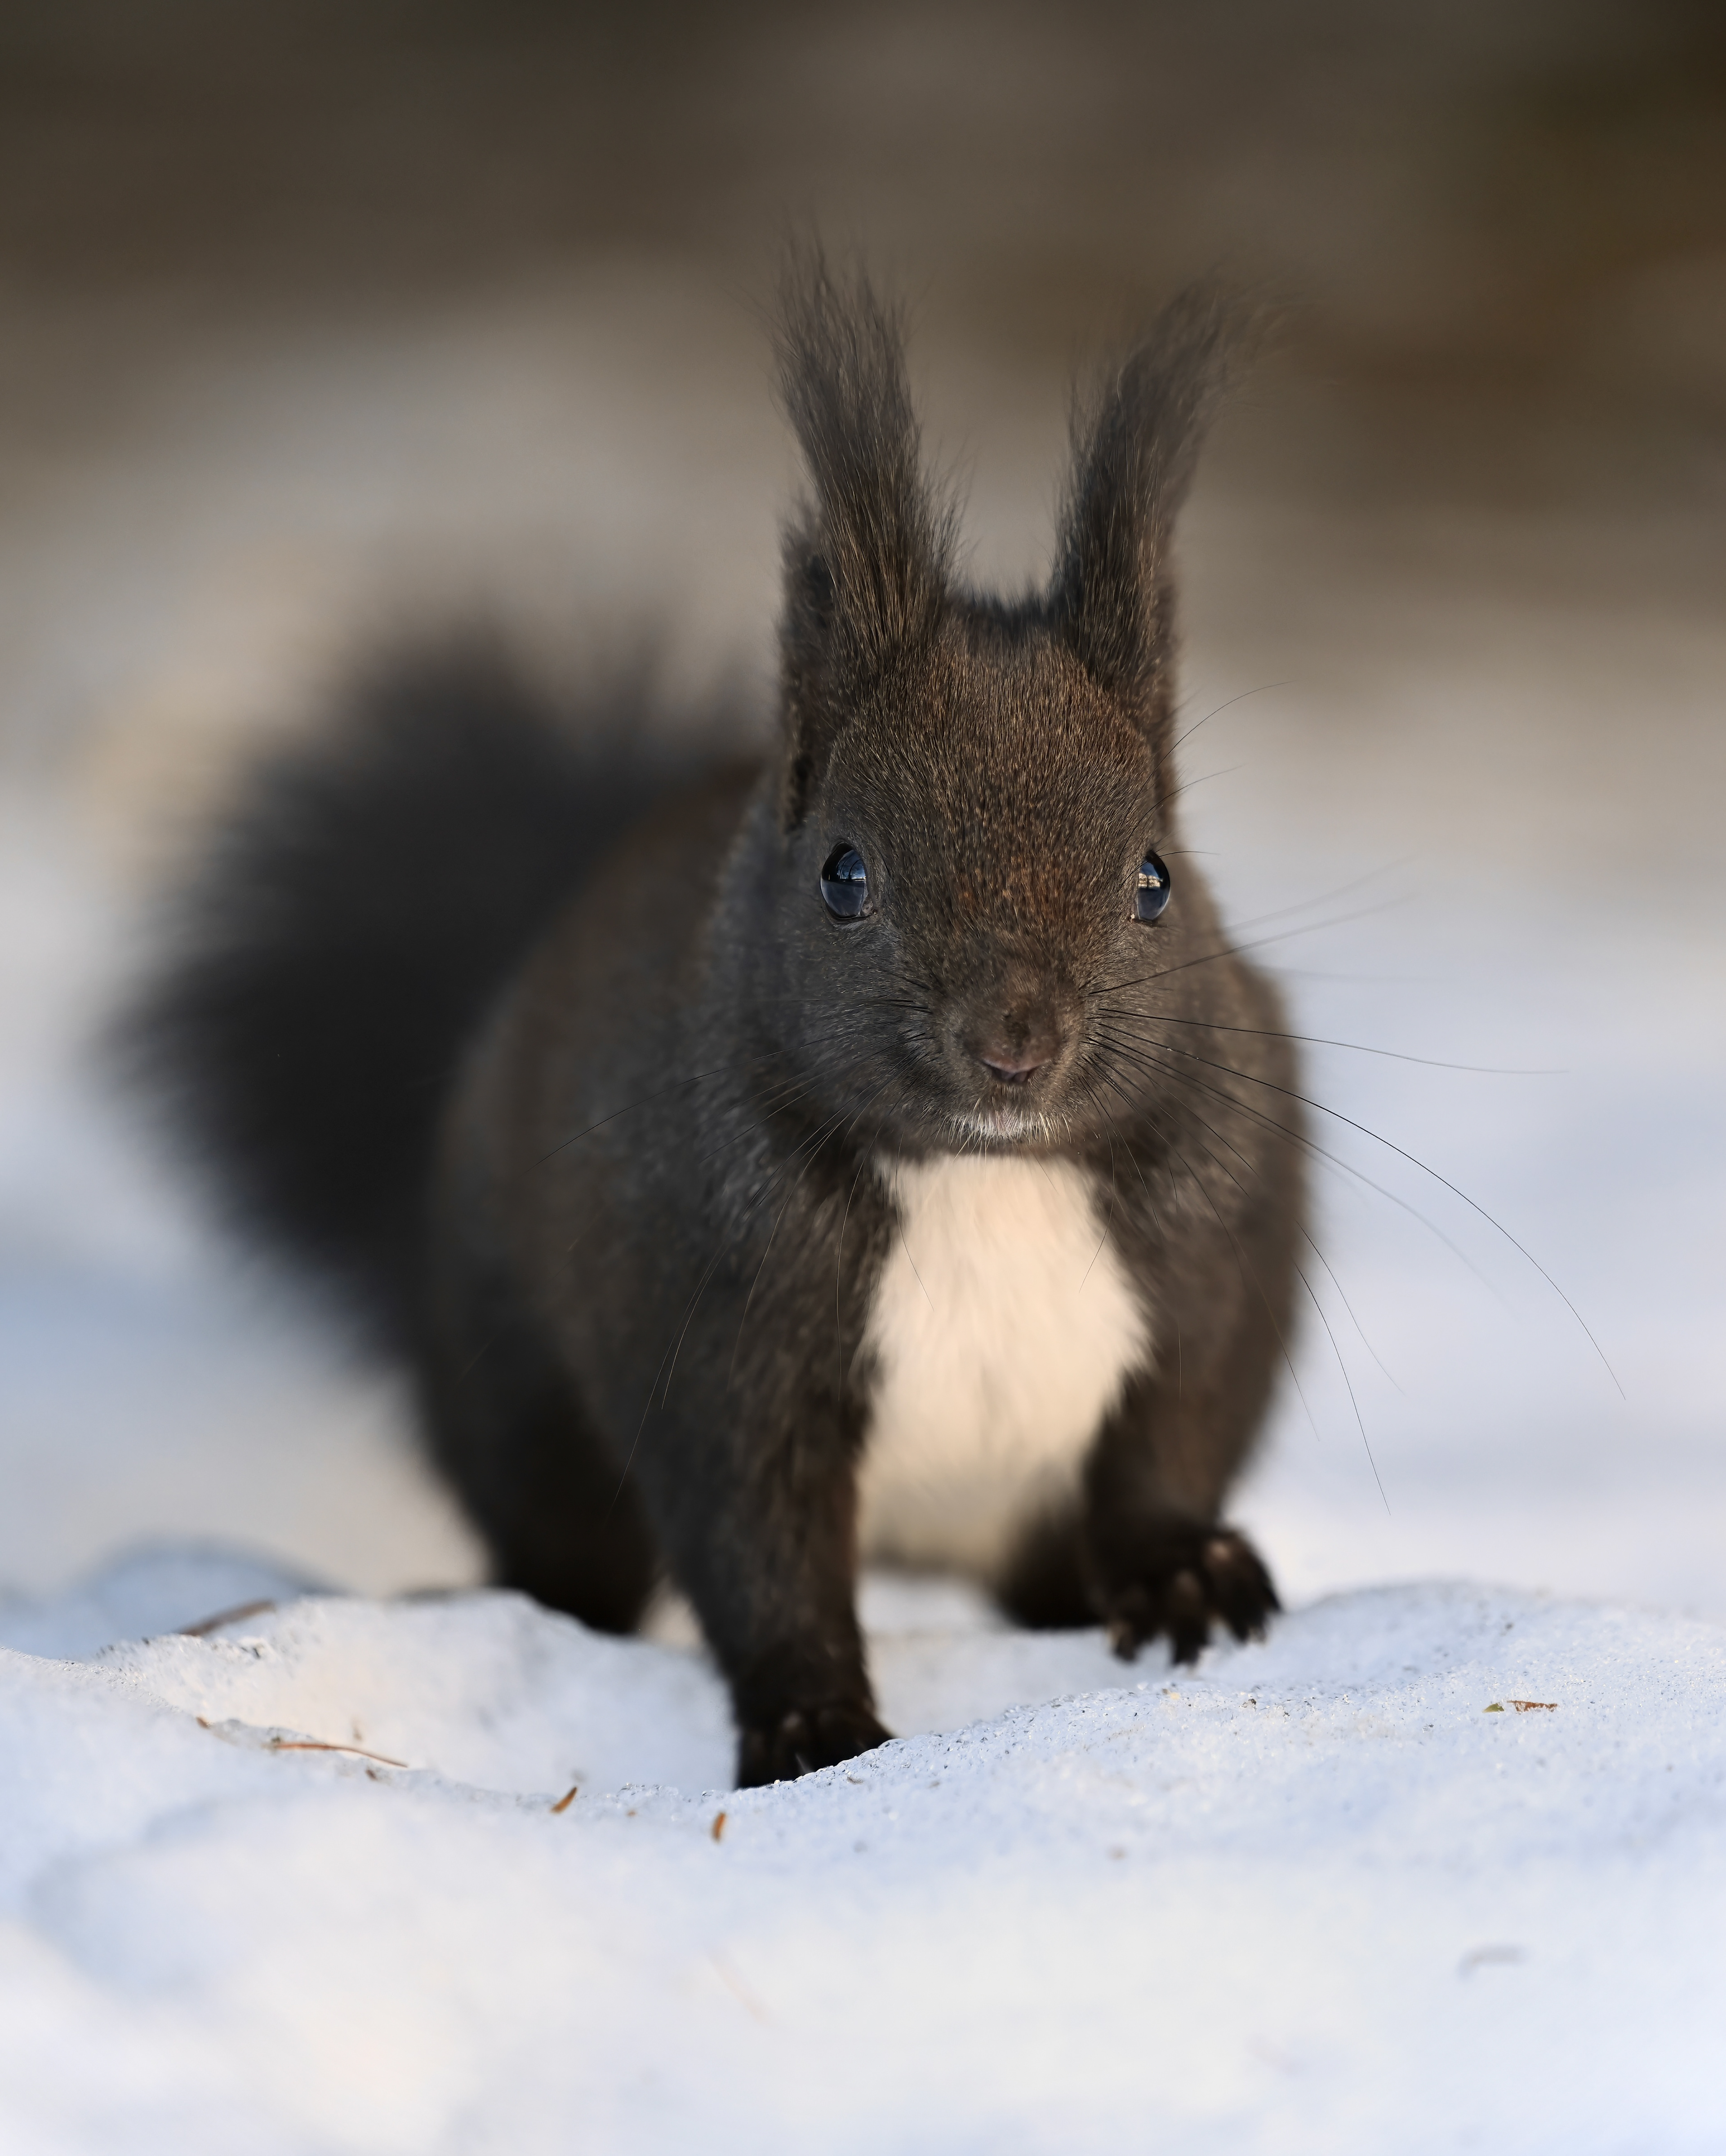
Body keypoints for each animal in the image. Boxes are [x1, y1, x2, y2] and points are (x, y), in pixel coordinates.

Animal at [136, 256, 1303, 1787]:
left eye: (1155, 878)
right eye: (843, 874)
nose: (1015, 1042)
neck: (979, 1172)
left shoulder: (1217, 1246)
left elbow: (1176, 1434)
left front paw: (1184, 1574)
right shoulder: (716, 1317)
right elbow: (758, 1544)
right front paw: (812, 1721)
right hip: (519, 1398)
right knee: (569, 1553)